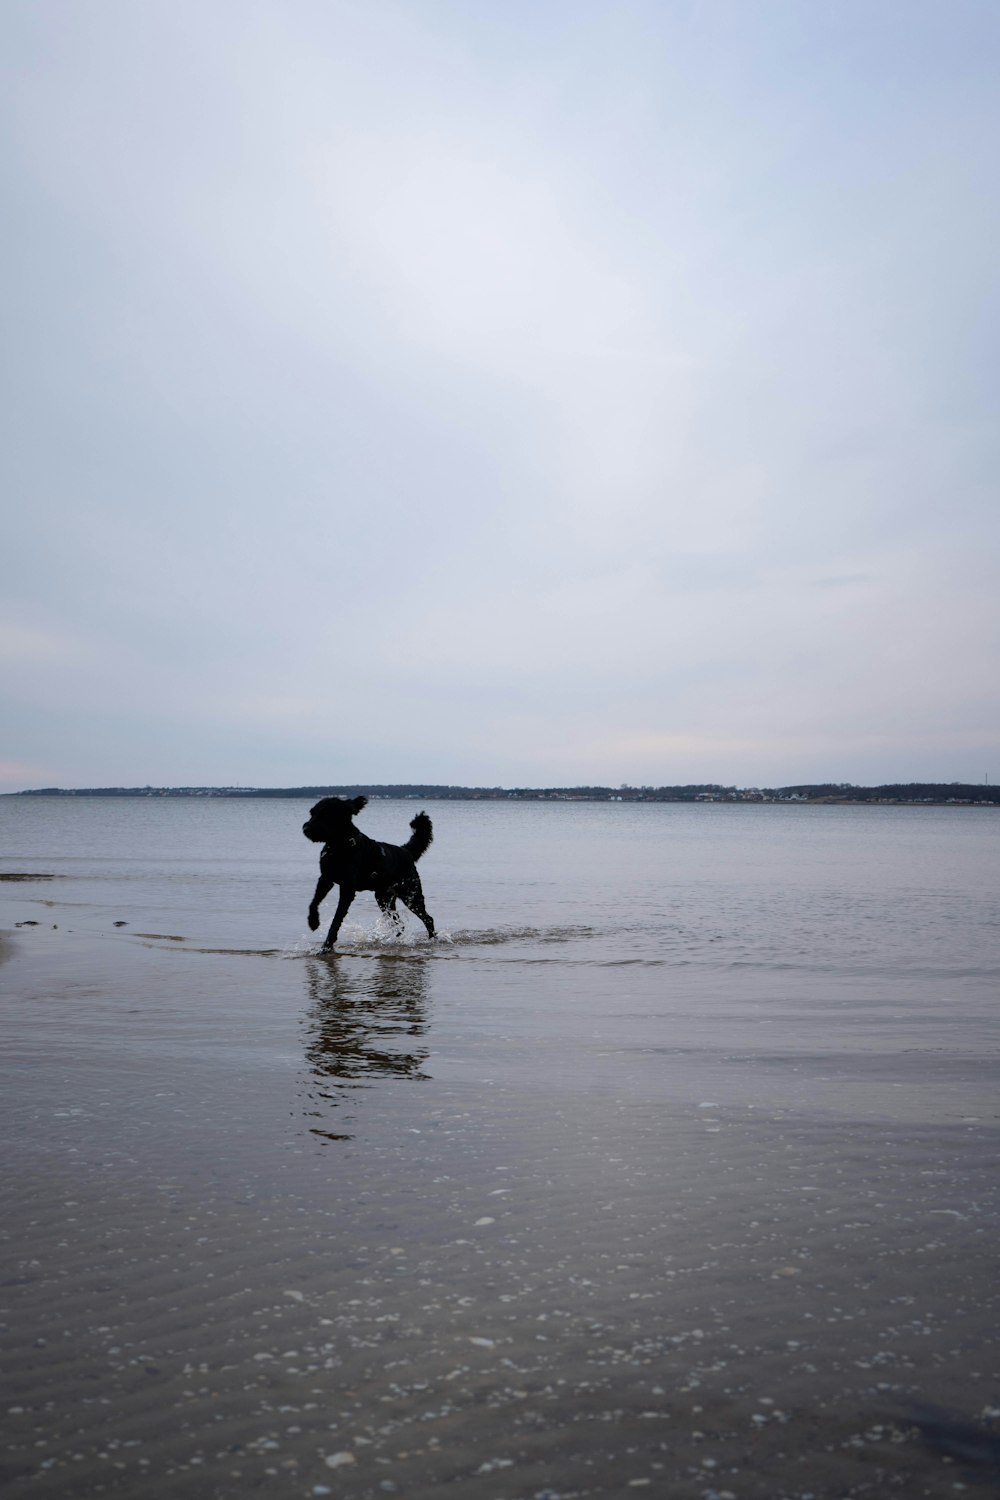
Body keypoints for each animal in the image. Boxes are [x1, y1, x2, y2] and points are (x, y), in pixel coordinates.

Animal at [301, 798, 434, 948]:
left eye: (326, 814)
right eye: (312, 813)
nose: (306, 829)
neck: (339, 846)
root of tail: (405, 850)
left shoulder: (347, 889)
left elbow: (336, 919)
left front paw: (327, 945)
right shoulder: (325, 879)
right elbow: (314, 902)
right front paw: (313, 921)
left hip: (411, 896)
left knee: (428, 919)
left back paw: (432, 939)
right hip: (384, 899)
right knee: (400, 924)